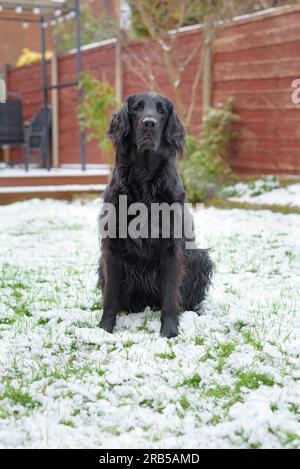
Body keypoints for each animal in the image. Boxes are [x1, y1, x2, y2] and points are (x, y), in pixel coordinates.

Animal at [98, 92, 213, 336]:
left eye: (161, 110)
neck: (144, 177)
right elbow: (110, 296)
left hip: (200, 257)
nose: (149, 123)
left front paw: (169, 331)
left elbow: (170, 297)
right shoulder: (112, 247)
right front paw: (104, 328)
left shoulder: (171, 248)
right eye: (137, 108)